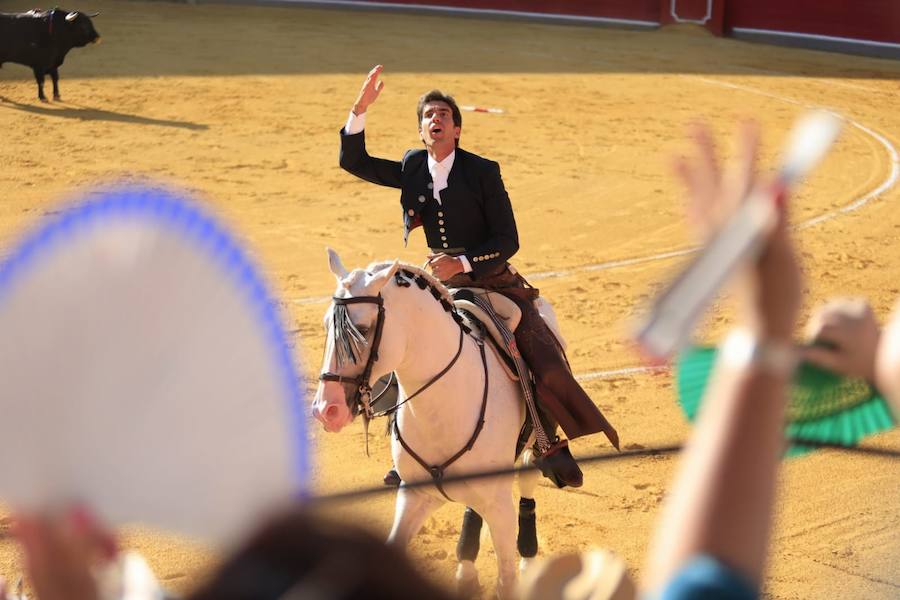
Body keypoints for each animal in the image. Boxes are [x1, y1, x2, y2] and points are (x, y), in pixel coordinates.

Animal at [312, 250, 536, 596]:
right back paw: (466, 569)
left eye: (362, 328)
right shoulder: (416, 496)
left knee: (529, 477)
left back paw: (527, 560)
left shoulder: (500, 506)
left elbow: (507, 579)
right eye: (326, 325)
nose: (326, 408)